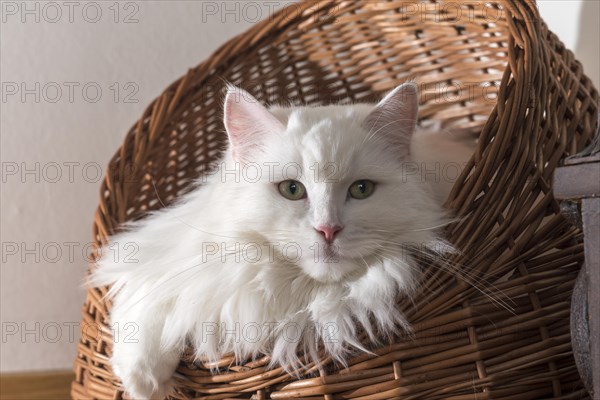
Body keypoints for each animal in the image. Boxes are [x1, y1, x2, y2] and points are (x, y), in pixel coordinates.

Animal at [90, 83, 474, 398]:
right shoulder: (185, 255)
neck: (296, 290)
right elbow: (155, 298)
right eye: (292, 190)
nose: (328, 229)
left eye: (362, 190)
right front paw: (144, 380)